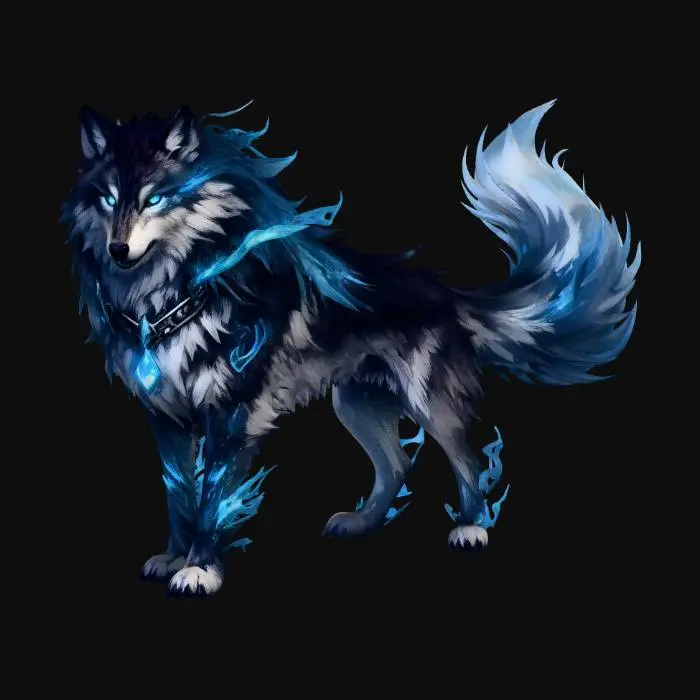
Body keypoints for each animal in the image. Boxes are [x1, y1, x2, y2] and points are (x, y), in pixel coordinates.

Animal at [62, 100, 640, 596]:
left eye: (154, 198)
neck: (171, 297)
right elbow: (177, 496)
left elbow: (210, 502)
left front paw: (200, 569)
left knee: (467, 459)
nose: (118, 249)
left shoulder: (231, 415)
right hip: (355, 404)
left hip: (426, 402)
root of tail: (446, 292)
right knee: (397, 466)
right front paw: (173, 557)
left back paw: (472, 527)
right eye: (109, 199)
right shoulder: (167, 419)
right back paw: (362, 522)